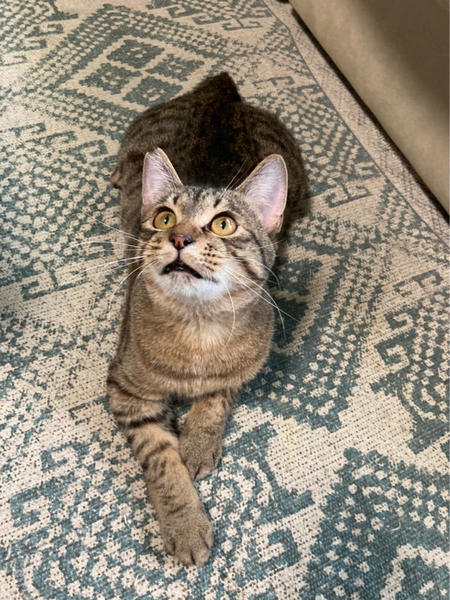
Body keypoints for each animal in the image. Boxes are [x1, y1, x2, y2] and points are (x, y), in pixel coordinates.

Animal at [107, 73, 306, 567]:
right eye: (164, 217)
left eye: (223, 224)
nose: (178, 237)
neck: (199, 330)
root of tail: (221, 91)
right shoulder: (127, 393)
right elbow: (161, 462)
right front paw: (186, 523)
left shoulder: (247, 365)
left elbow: (217, 399)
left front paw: (197, 441)